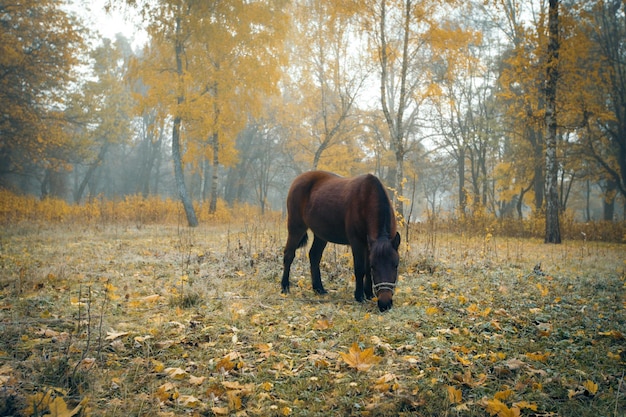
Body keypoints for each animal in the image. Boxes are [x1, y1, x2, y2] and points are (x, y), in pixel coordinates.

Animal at [280, 171, 400, 310]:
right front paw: (359, 296)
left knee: (314, 256)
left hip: (321, 235)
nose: (385, 304)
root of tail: (298, 179)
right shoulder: (357, 243)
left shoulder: (368, 245)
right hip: (296, 227)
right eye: (374, 266)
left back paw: (319, 289)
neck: (367, 197)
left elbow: (366, 269)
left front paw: (369, 294)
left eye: (396, 265)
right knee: (289, 255)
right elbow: (360, 268)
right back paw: (285, 287)